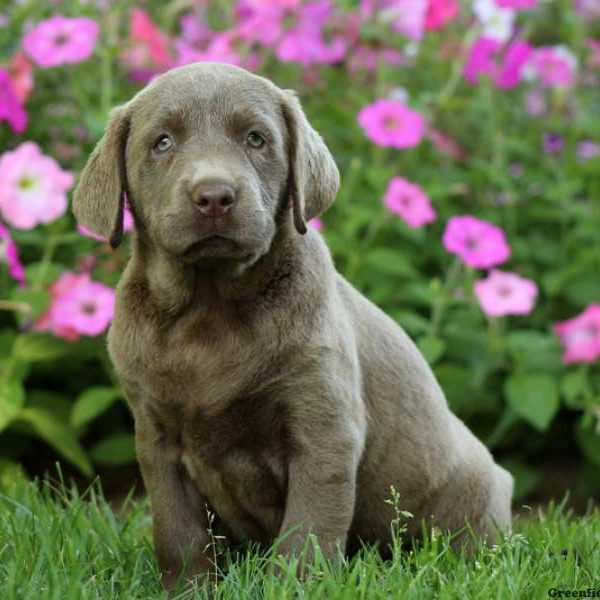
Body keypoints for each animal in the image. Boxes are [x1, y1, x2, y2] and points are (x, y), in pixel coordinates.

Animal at [71, 62, 510, 592]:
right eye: (162, 142)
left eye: (256, 139)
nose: (214, 196)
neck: (209, 308)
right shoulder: (156, 435)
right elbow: (177, 532)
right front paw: (189, 589)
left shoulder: (323, 429)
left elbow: (309, 528)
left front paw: (294, 585)